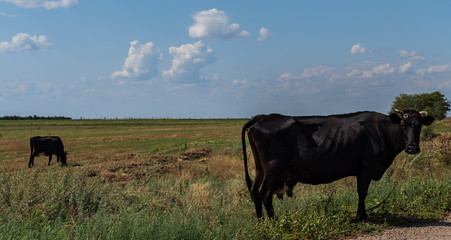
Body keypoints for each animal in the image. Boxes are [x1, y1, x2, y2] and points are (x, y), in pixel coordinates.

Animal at [242, 109, 436, 220]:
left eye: (419, 125)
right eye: (403, 124)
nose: (412, 147)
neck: (381, 130)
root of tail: (262, 117)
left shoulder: (361, 170)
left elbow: (360, 192)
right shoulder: (368, 167)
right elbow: (362, 192)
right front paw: (361, 216)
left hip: (260, 168)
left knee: (255, 191)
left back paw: (260, 222)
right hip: (273, 169)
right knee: (265, 193)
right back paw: (274, 222)